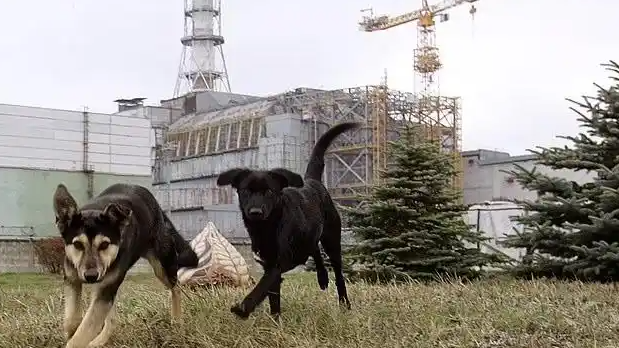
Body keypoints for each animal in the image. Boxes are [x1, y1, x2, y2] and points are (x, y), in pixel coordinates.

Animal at [217, 121, 358, 318]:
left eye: (269, 191)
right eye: (246, 191)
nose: (255, 212)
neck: (268, 227)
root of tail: (312, 181)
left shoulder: (278, 263)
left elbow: (263, 285)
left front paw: (244, 308)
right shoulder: (268, 263)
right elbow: (273, 297)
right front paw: (275, 320)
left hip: (332, 239)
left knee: (338, 273)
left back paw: (344, 303)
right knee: (314, 249)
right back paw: (322, 277)